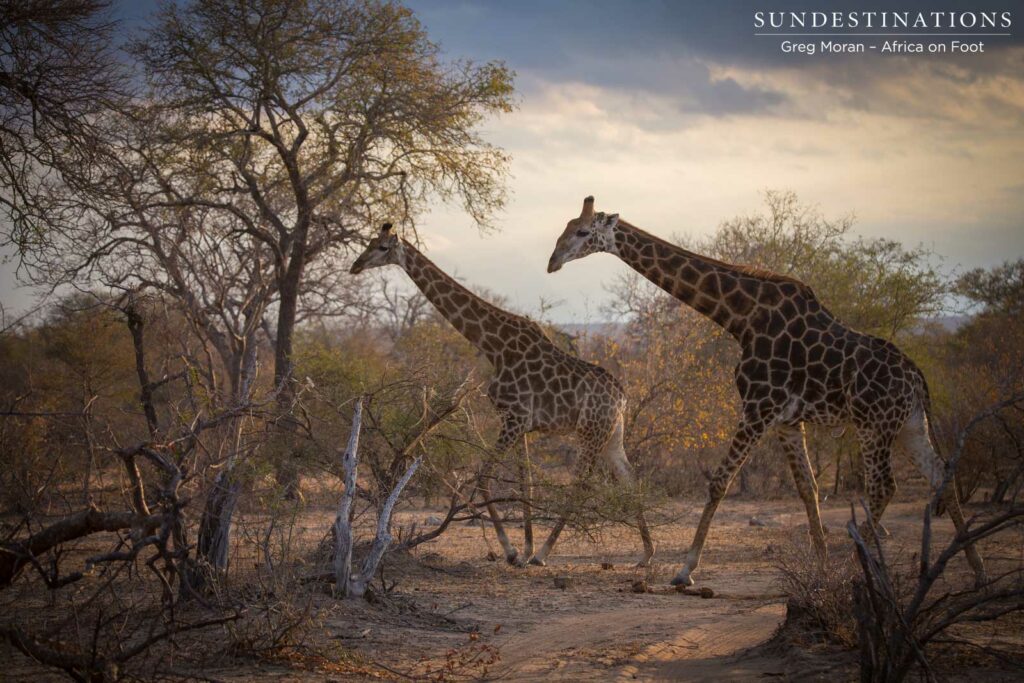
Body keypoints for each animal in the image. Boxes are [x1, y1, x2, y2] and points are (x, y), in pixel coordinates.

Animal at [350, 223, 656, 567]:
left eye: (383, 248)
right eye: (369, 242)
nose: (356, 265)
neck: (493, 346)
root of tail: (622, 397)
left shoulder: (514, 418)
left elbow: (483, 476)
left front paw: (512, 551)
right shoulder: (519, 423)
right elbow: (527, 483)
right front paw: (523, 549)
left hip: (591, 432)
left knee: (581, 484)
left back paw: (545, 553)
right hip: (611, 433)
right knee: (630, 478)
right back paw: (646, 554)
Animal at [546, 196, 987, 587]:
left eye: (583, 232)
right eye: (564, 227)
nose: (552, 262)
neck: (740, 317)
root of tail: (917, 379)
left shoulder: (758, 406)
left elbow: (719, 482)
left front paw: (686, 570)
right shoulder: (787, 421)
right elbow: (808, 489)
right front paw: (821, 567)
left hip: (873, 425)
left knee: (884, 487)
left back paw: (857, 560)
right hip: (910, 424)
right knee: (941, 474)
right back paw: (978, 571)